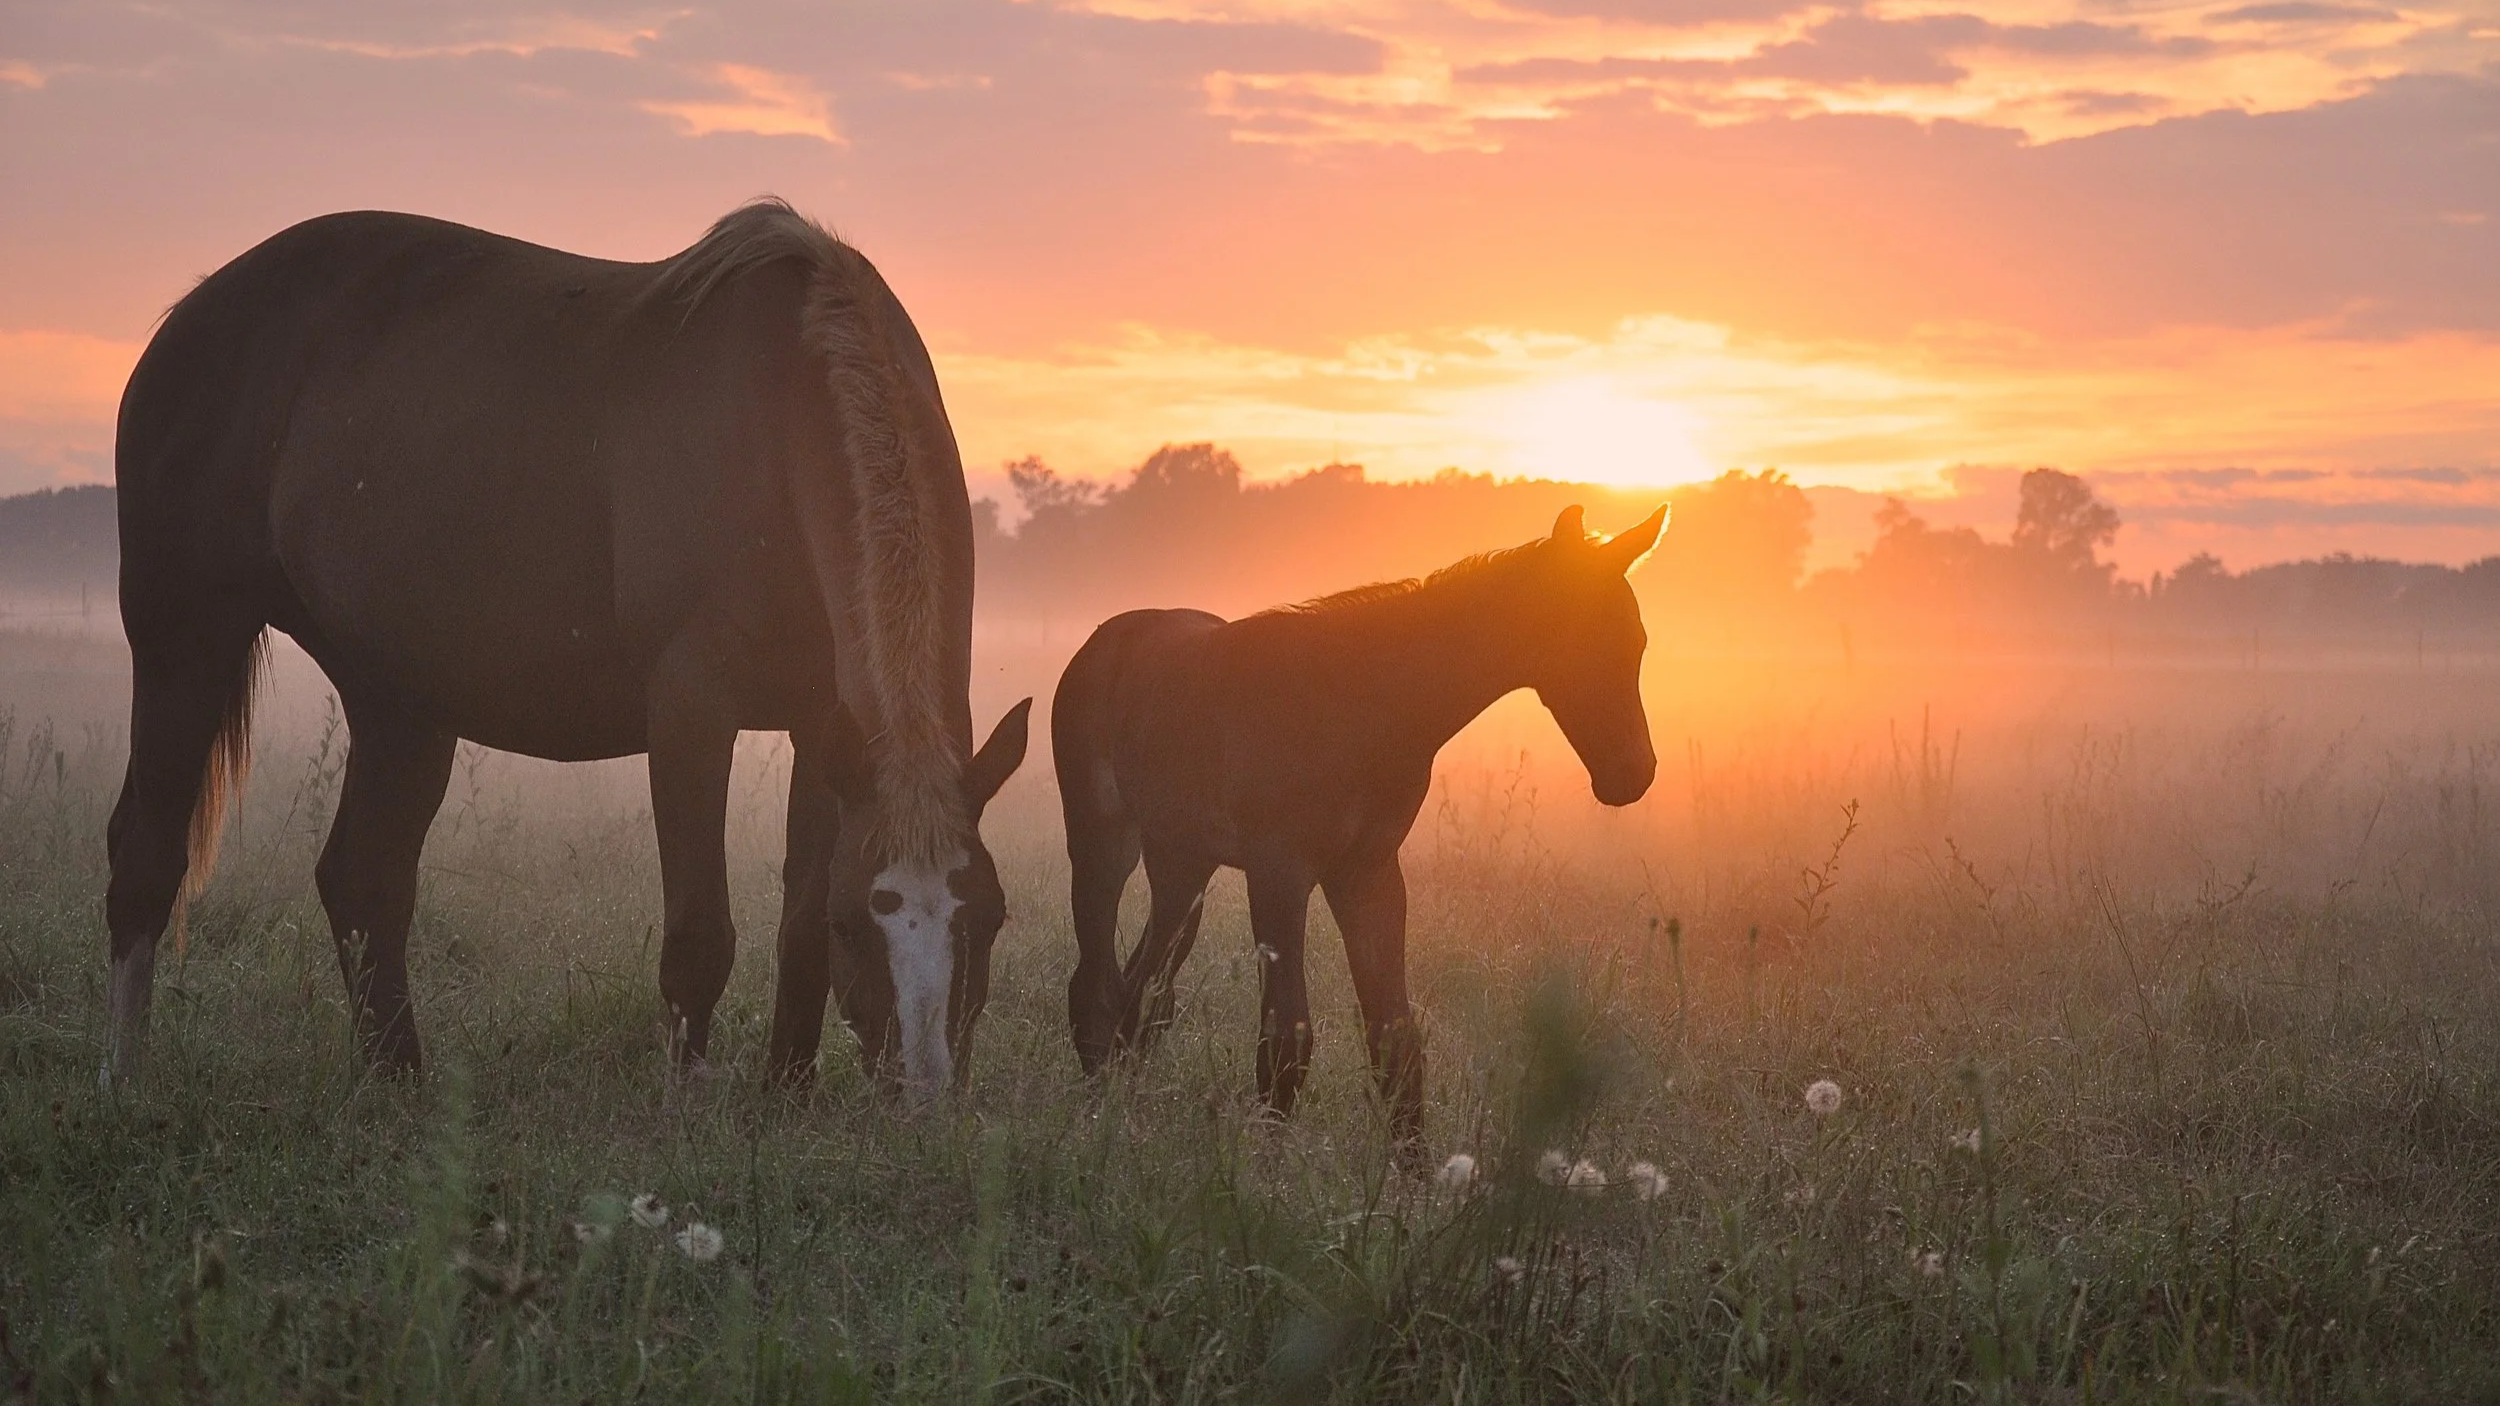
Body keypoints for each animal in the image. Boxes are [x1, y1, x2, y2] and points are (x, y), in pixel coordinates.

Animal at [104, 199, 1030, 1101]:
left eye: (989, 917)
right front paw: (688, 1113)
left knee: (364, 879)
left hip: (397, 699)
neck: (775, 423)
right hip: (185, 635)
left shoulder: (822, 725)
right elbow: (702, 936)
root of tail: (194, 313)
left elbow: (796, 925)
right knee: (145, 852)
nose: (921, 1097)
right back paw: (126, 1082)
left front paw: (788, 1098)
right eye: (860, 924)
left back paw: (398, 1083)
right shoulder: (692, 711)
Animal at [1051, 504, 1664, 1150]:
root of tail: (1103, 640)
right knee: (1095, 985)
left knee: (1144, 990)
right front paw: (1262, 1169)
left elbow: (1396, 1043)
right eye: (1576, 635)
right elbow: (1286, 1044)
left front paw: (1416, 1175)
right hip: (1102, 844)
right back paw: (1095, 1123)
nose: (1633, 773)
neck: (1359, 707)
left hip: (1182, 860)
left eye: (1638, 640)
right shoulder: (1279, 872)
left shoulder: (1368, 873)